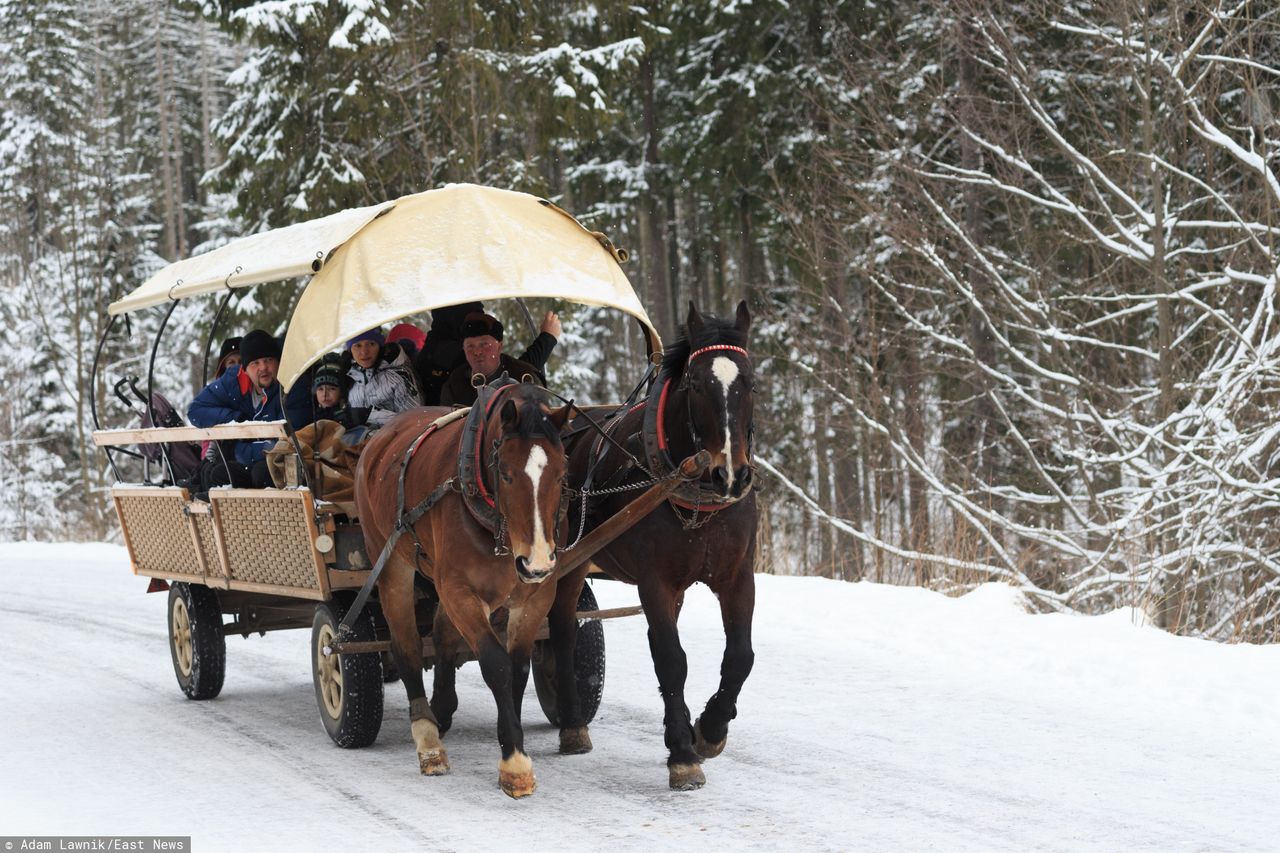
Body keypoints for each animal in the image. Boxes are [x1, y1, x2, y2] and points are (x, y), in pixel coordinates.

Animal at [353, 384, 568, 799]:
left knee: (440, 634)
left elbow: (518, 668)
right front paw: (515, 764)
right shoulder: (459, 591)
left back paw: (442, 706)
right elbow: (497, 665)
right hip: (389, 559)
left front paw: (511, 739)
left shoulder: (535, 598)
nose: (535, 562)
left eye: (561, 473)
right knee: (407, 646)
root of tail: (380, 439)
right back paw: (428, 739)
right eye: (505, 474)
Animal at [552, 302, 752, 788]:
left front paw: (709, 729)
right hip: (569, 563)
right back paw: (572, 725)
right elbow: (670, 658)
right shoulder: (655, 579)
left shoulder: (737, 575)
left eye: (750, 382)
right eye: (696, 383)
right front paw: (683, 752)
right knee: (562, 629)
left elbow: (740, 655)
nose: (731, 475)